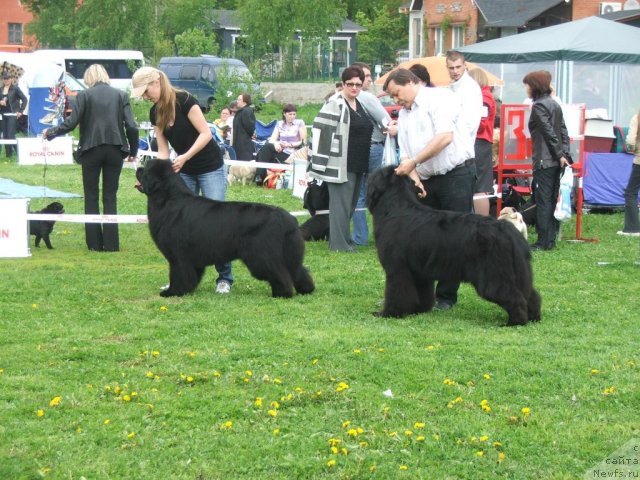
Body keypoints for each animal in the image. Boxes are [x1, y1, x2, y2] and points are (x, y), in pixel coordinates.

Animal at [137, 159, 316, 298]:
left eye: (146, 169)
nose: (138, 168)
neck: (168, 199)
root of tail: (287, 218)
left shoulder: (178, 256)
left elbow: (178, 274)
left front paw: (173, 292)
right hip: (289, 252)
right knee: (298, 270)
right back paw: (306, 289)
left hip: (261, 255)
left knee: (280, 273)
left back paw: (282, 293)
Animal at [364, 165, 540, 326]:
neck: (395, 208)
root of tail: (508, 231)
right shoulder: (420, 272)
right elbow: (422, 293)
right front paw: (419, 310)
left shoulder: (397, 270)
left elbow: (396, 293)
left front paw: (388, 313)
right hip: (517, 273)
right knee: (531, 295)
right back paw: (533, 317)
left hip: (494, 276)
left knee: (515, 297)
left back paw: (514, 322)